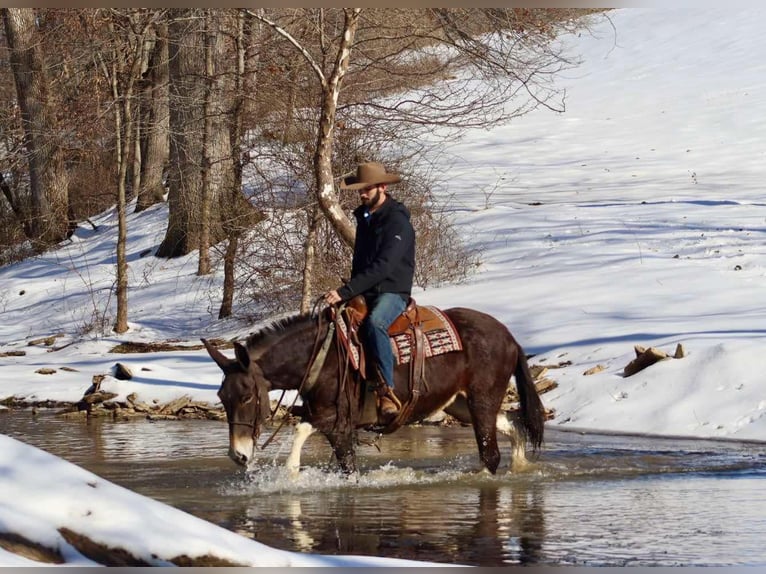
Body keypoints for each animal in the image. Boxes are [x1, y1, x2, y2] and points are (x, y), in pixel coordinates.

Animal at [202, 304, 545, 476]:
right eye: (222, 398)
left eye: (247, 396)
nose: (238, 455)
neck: (322, 357)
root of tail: (509, 336)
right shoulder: (332, 424)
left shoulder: (338, 422)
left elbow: (306, 435)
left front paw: (292, 472)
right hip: (460, 404)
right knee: (511, 425)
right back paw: (521, 464)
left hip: (481, 399)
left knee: (490, 455)